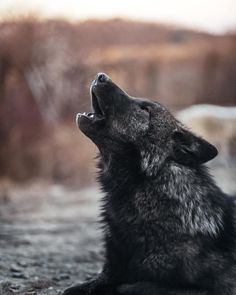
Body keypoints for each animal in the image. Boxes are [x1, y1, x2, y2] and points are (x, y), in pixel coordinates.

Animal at [62, 72, 236, 295]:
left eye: (144, 109)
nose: (101, 76)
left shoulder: (207, 288)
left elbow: (127, 287)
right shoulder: (112, 267)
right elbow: (82, 286)